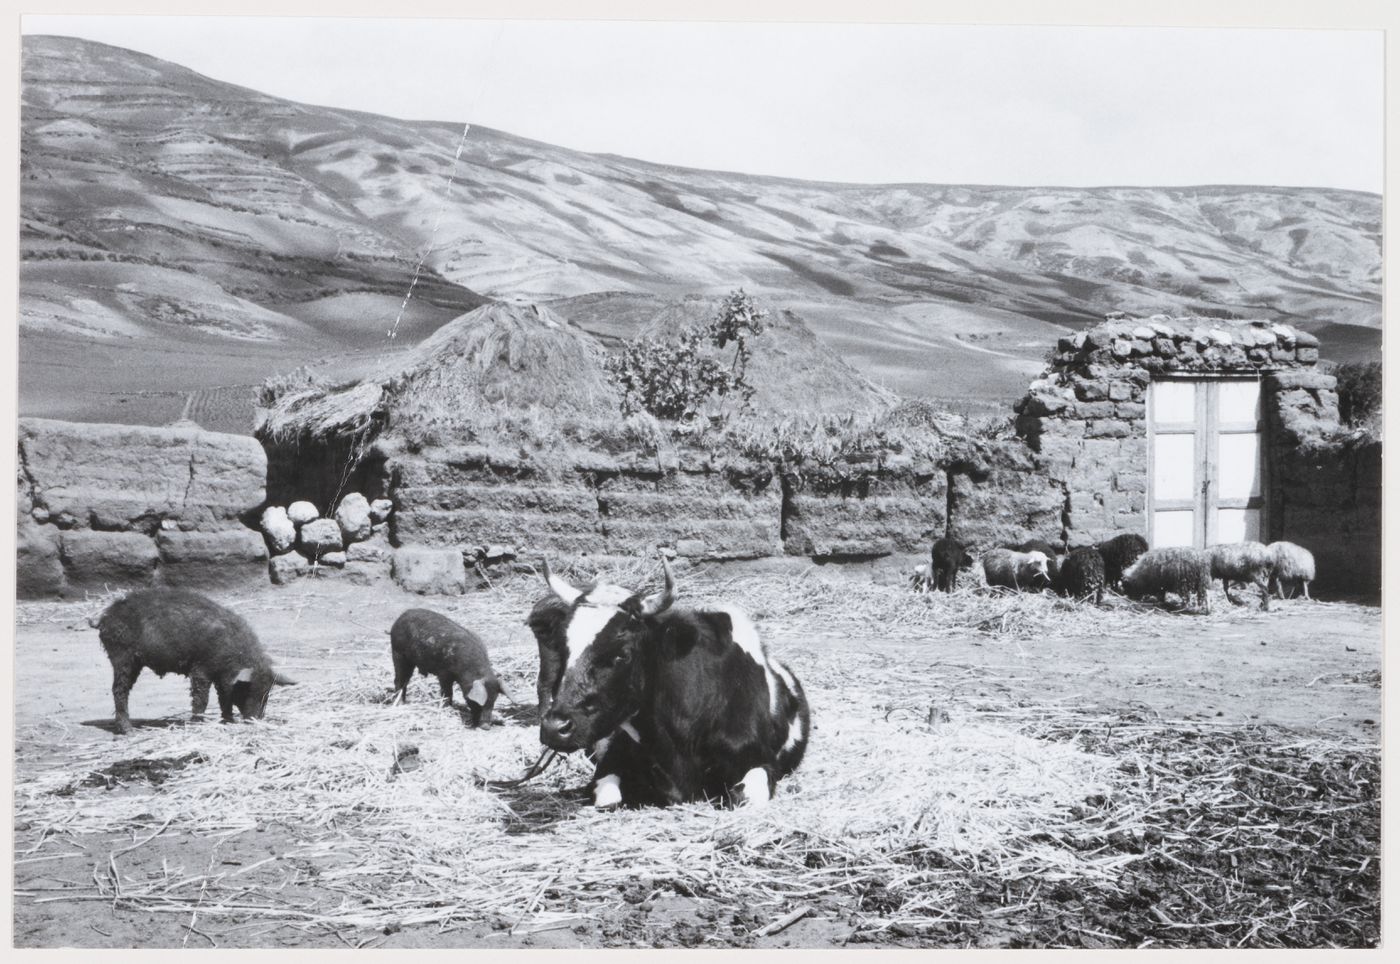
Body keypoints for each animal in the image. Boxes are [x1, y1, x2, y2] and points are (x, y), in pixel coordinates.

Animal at [97, 587, 299, 738]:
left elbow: (223, 698)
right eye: (248, 689)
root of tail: (105, 617)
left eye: (267, 692)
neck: (232, 652)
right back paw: (128, 731)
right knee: (119, 690)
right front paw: (198, 724)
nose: (256, 720)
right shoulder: (202, 668)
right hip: (122, 656)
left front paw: (228, 721)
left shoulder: (221, 677)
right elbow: (202, 698)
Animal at [526, 554, 812, 805]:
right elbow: (607, 798)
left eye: (622, 654)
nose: (554, 727)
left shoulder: (761, 761)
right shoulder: (612, 759)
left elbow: (745, 798)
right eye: (562, 649)